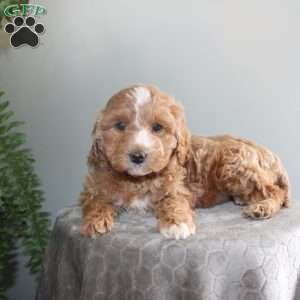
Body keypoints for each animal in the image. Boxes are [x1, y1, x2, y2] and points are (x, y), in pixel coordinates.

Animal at [80, 84, 290, 239]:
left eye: (158, 127)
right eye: (120, 125)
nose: (138, 156)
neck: (138, 180)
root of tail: (269, 154)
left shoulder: (177, 186)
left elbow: (174, 201)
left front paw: (177, 224)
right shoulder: (94, 186)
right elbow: (95, 200)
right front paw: (94, 221)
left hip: (233, 166)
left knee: (276, 191)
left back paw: (262, 207)